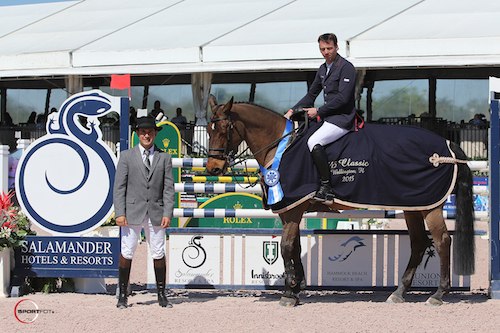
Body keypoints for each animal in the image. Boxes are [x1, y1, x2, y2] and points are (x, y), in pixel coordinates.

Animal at [205, 96, 474, 306]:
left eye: (224, 128)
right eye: (208, 129)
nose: (214, 168)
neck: (281, 146)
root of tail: (447, 145)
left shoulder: (293, 208)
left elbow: (286, 246)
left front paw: (289, 292)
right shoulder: (290, 209)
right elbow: (296, 246)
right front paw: (298, 287)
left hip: (432, 207)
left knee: (442, 241)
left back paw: (438, 294)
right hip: (414, 205)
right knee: (419, 243)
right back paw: (399, 292)